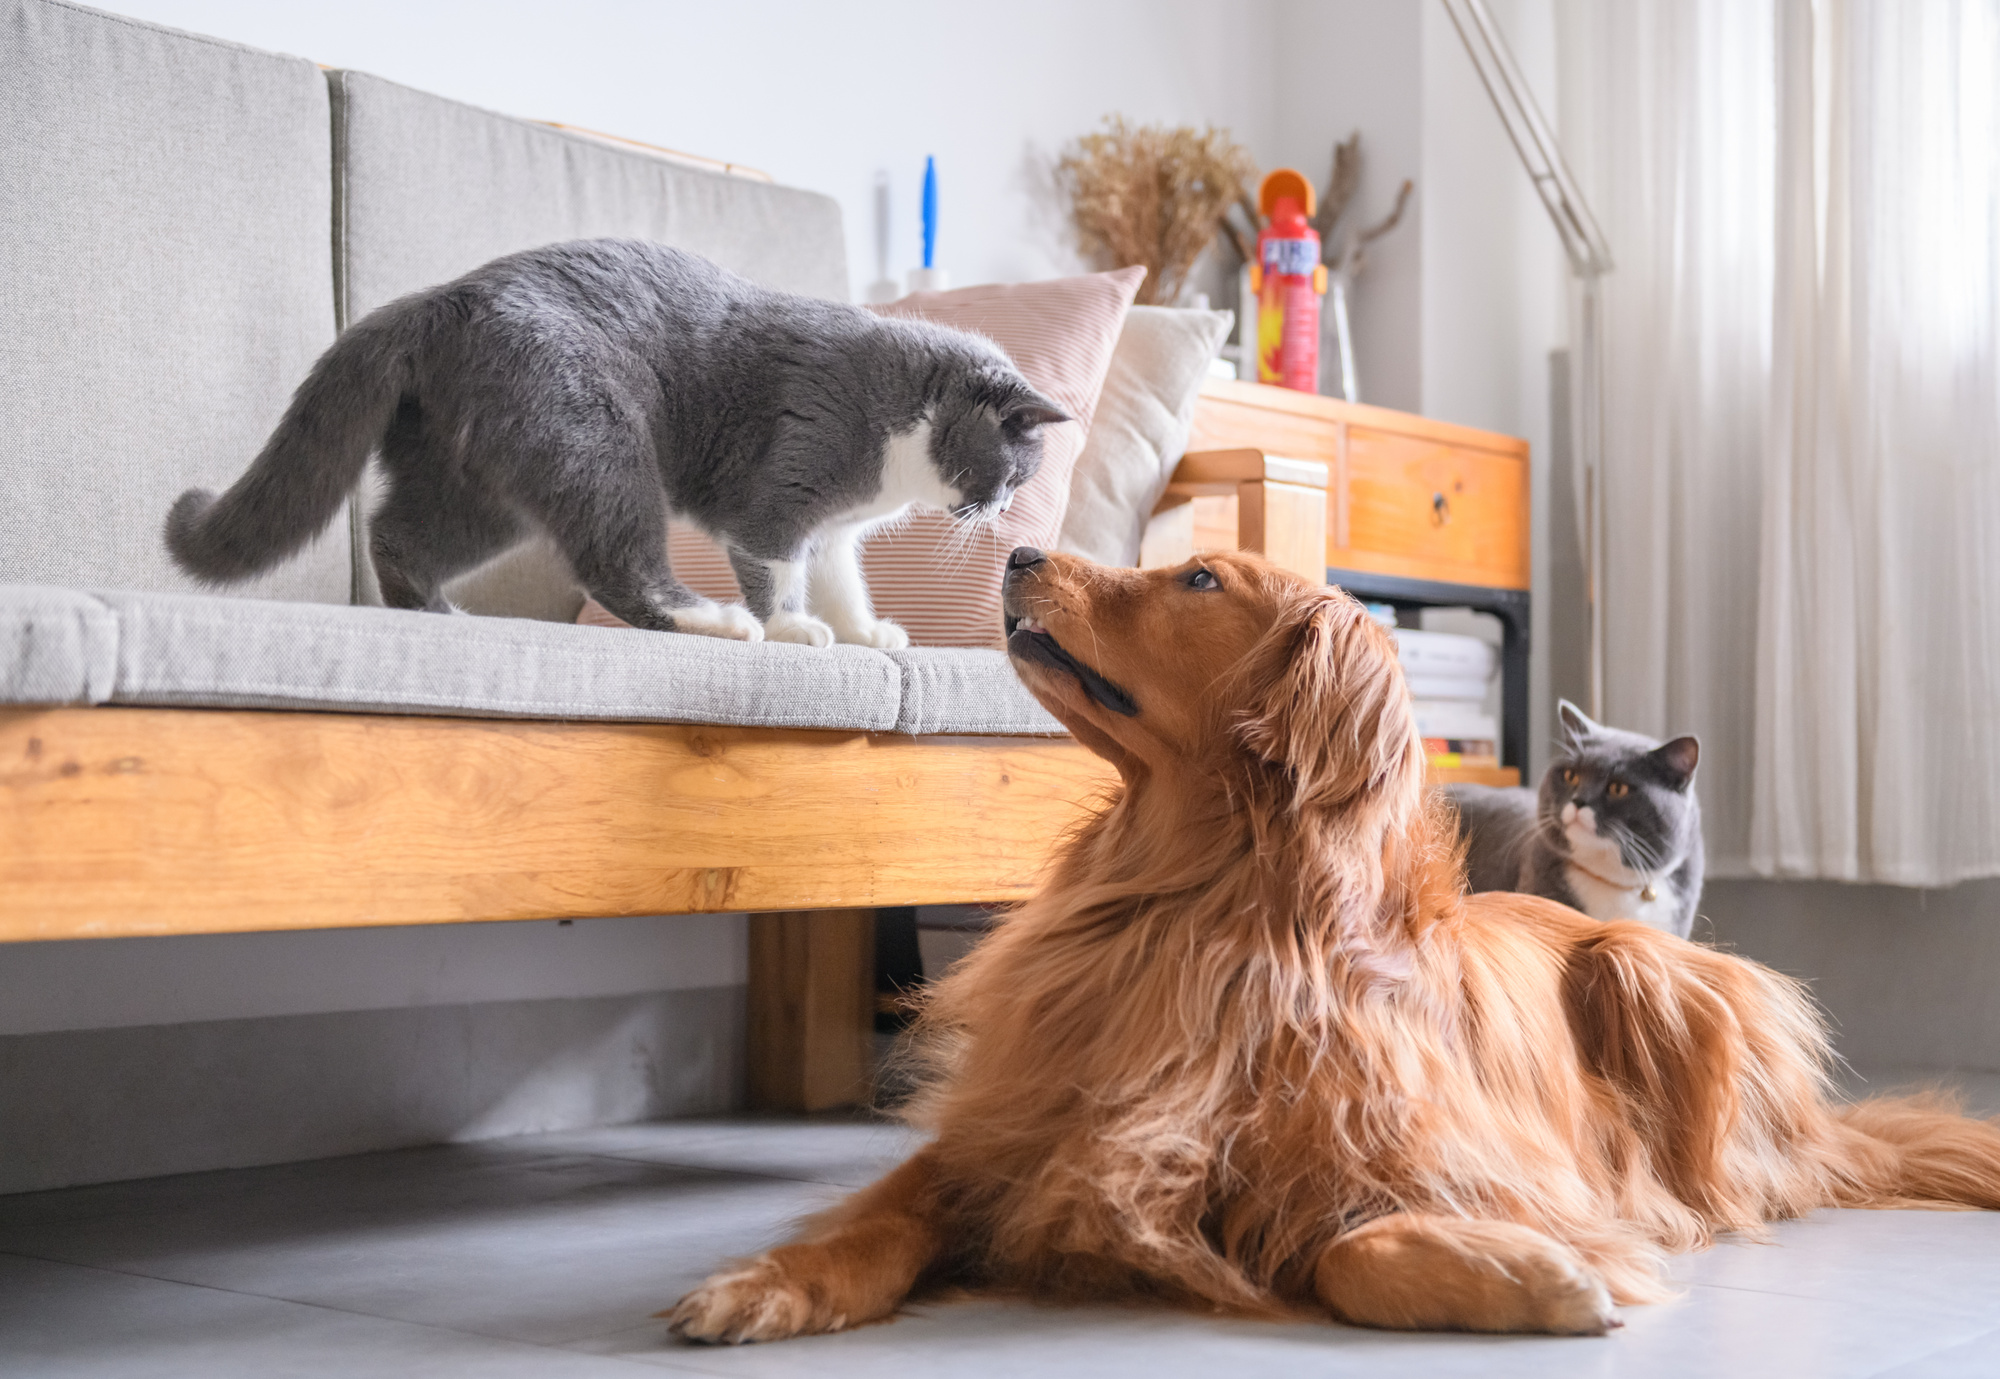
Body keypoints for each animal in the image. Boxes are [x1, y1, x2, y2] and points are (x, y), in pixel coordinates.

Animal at [166, 238, 1072, 647]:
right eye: (1014, 469)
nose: (998, 509)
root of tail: (436, 301)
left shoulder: (837, 530)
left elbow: (843, 580)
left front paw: (862, 633)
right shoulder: (785, 491)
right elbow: (777, 567)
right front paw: (790, 629)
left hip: (478, 479)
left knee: (395, 529)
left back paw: (437, 609)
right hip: (597, 436)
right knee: (617, 559)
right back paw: (713, 620)